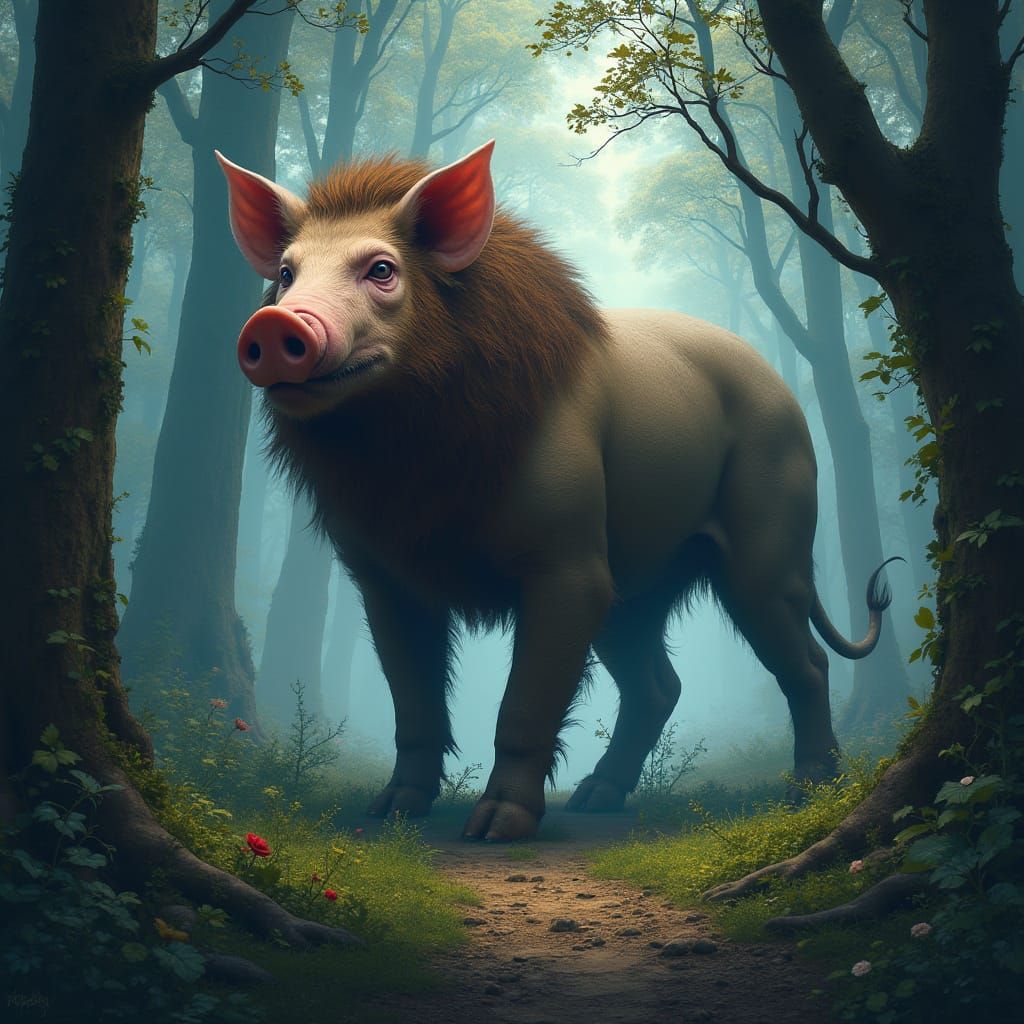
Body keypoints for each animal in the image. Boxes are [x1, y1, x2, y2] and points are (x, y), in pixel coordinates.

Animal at [216, 140, 896, 841]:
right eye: (287, 274)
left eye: (381, 269)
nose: (272, 322)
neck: (413, 461)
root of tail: (783, 393)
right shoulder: (382, 576)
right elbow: (414, 701)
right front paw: (392, 813)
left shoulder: (568, 563)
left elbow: (525, 701)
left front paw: (495, 829)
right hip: (638, 587)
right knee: (659, 685)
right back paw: (595, 799)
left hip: (767, 540)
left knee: (804, 661)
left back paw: (808, 791)